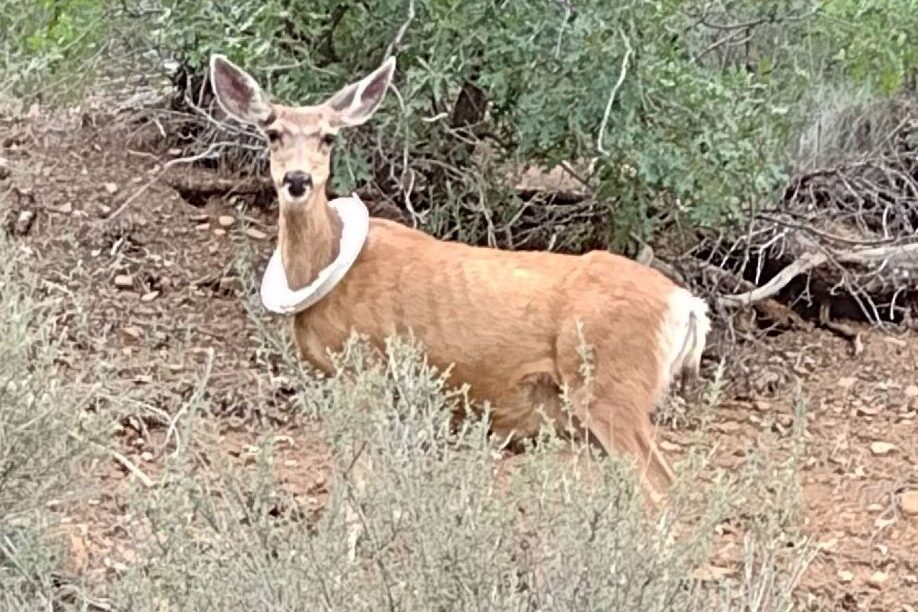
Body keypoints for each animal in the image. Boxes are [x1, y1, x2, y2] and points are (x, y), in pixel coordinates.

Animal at [208, 52, 712, 502]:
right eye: (272, 132)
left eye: (328, 137)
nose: (297, 180)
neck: (328, 270)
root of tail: (687, 305)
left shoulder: (364, 367)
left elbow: (358, 480)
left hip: (609, 386)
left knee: (662, 486)